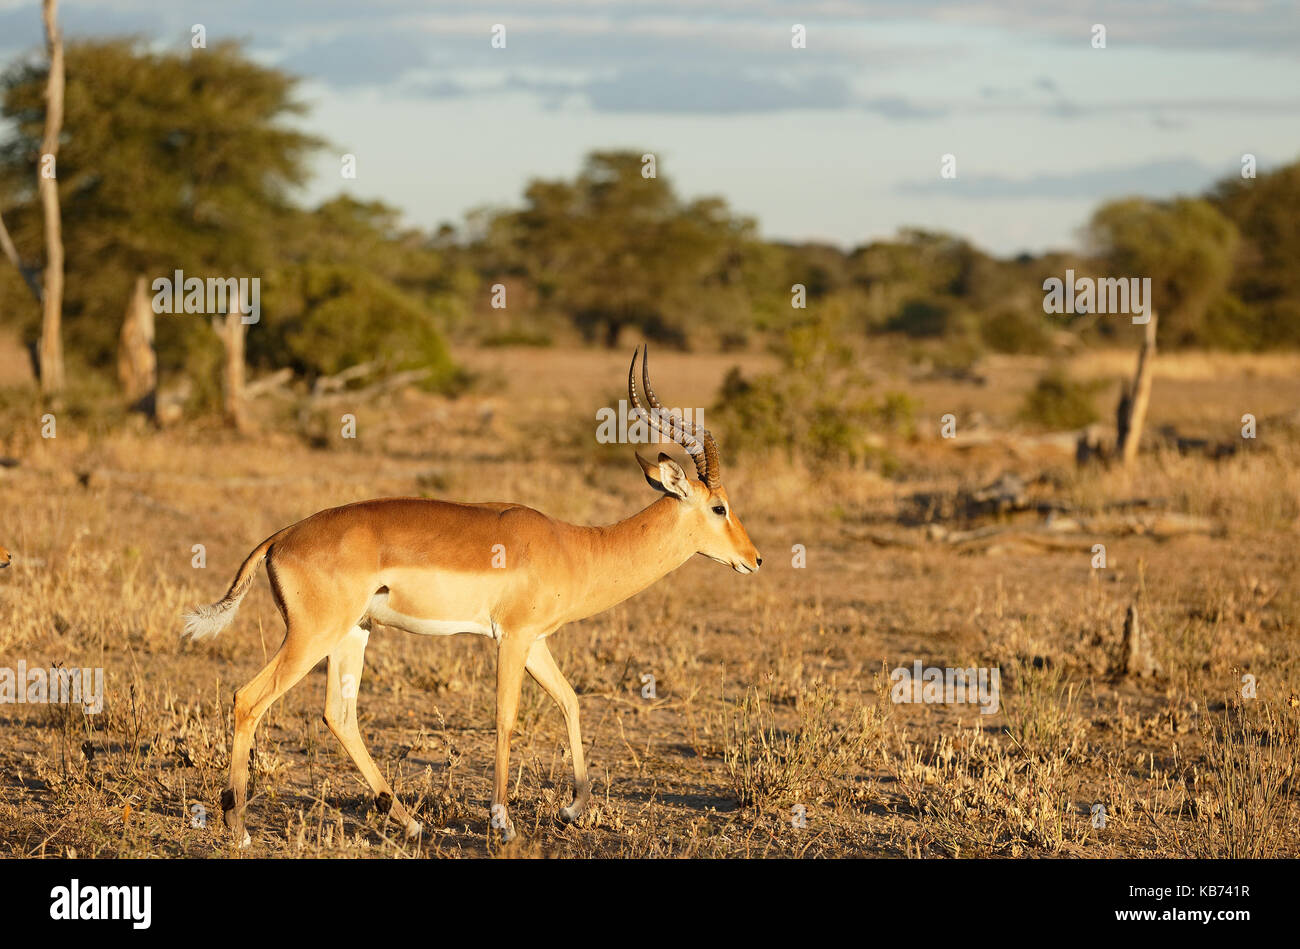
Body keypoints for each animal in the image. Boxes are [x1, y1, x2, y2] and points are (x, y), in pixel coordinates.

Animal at [182, 347, 761, 845]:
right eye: (719, 507)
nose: (754, 559)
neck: (576, 546)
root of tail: (279, 538)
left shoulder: (536, 642)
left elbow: (570, 700)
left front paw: (571, 810)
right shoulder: (512, 638)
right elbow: (506, 718)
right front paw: (503, 823)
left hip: (353, 634)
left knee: (338, 716)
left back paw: (411, 823)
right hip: (311, 636)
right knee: (248, 699)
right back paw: (239, 828)